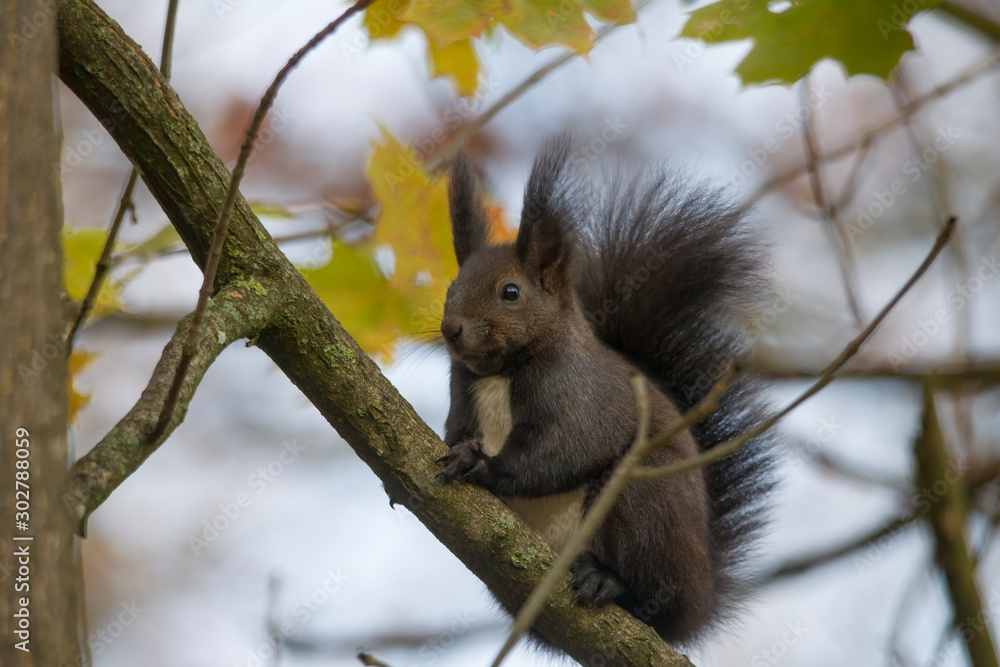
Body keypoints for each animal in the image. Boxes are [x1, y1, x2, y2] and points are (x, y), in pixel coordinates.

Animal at [435, 135, 775, 647]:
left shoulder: (579, 396)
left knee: (651, 596)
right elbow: (456, 434)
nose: (451, 328)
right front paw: (461, 453)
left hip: (646, 499)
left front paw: (483, 465)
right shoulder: (463, 397)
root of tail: (702, 599)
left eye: (510, 292)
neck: (500, 373)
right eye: (450, 287)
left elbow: (564, 449)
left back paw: (608, 581)